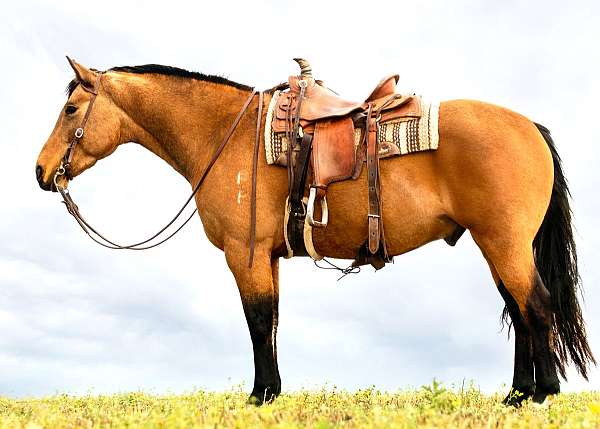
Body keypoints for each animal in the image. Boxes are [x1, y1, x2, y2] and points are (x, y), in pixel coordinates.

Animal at [35, 56, 592, 404]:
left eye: (70, 109)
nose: (41, 172)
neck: (227, 135)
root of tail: (530, 126)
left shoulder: (244, 253)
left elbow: (257, 319)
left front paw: (258, 396)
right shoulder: (267, 255)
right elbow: (272, 321)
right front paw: (272, 391)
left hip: (504, 243)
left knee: (537, 305)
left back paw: (542, 393)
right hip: (497, 245)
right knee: (520, 312)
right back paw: (516, 395)